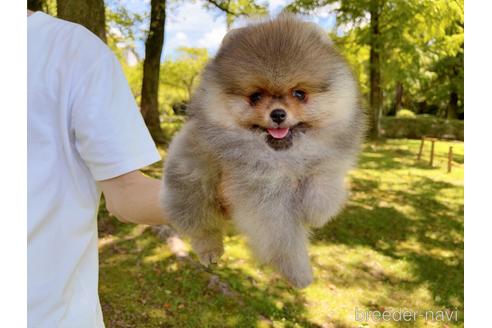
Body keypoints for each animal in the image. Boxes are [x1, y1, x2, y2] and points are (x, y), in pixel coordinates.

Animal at [161, 15, 366, 288]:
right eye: (256, 97)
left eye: (299, 94)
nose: (278, 114)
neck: (284, 157)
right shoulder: (264, 193)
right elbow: (282, 237)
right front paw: (299, 273)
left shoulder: (326, 159)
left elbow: (324, 179)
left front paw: (317, 212)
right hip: (190, 176)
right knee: (201, 224)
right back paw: (210, 250)